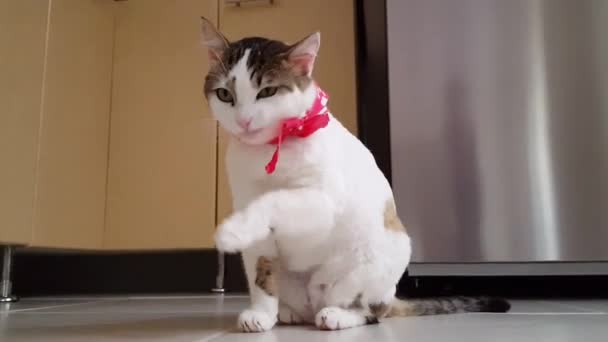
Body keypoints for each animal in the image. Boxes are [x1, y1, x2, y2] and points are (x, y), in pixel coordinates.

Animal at [200, 17, 508, 332]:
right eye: (225, 94)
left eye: (267, 92)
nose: (243, 121)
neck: (270, 150)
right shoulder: (249, 210)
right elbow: (261, 269)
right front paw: (260, 313)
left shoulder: (324, 202)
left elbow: (275, 199)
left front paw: (231, 230)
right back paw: (287, 312)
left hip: (382, 258)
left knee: (373, 310)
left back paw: (339, 315)